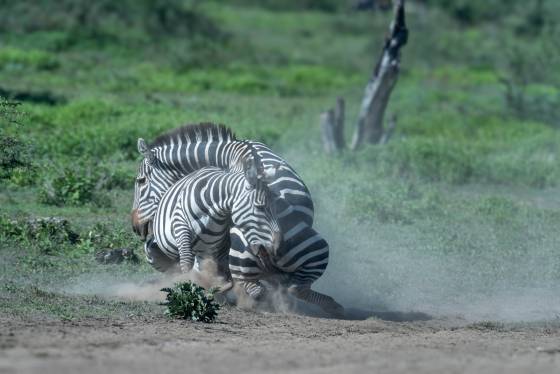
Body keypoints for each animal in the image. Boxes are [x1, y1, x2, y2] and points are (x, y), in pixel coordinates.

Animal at [132, 123, 344, 316]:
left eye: (140, 181)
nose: (135, 227)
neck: (231, 151)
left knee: (260, 288)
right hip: (316, 250)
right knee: (295, 288)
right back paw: (331, 305)